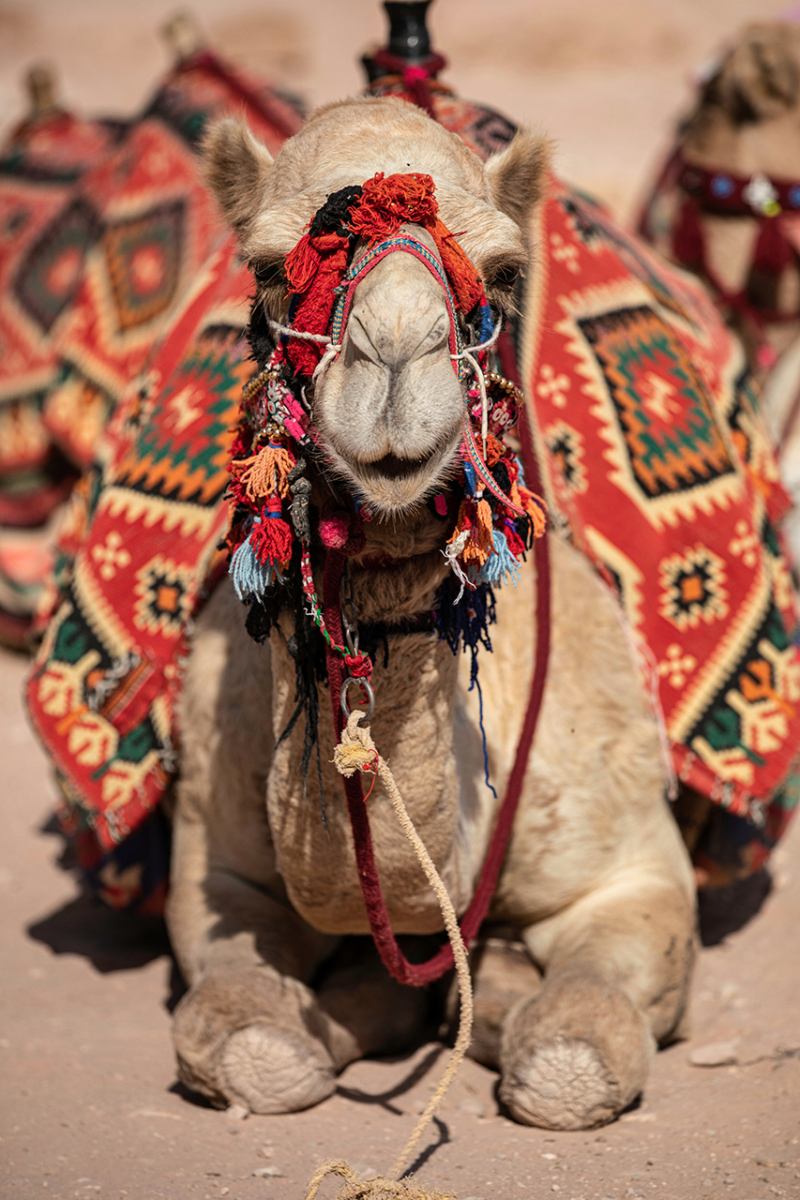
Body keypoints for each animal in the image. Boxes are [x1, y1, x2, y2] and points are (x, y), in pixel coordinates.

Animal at [165, 96, 696, 1132]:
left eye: (503, 272)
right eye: (269, 268)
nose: (397, 361)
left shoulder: (636, 869)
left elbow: (575, 1056)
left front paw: (517, 1019)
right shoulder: (214, 859)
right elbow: (246, 1035)